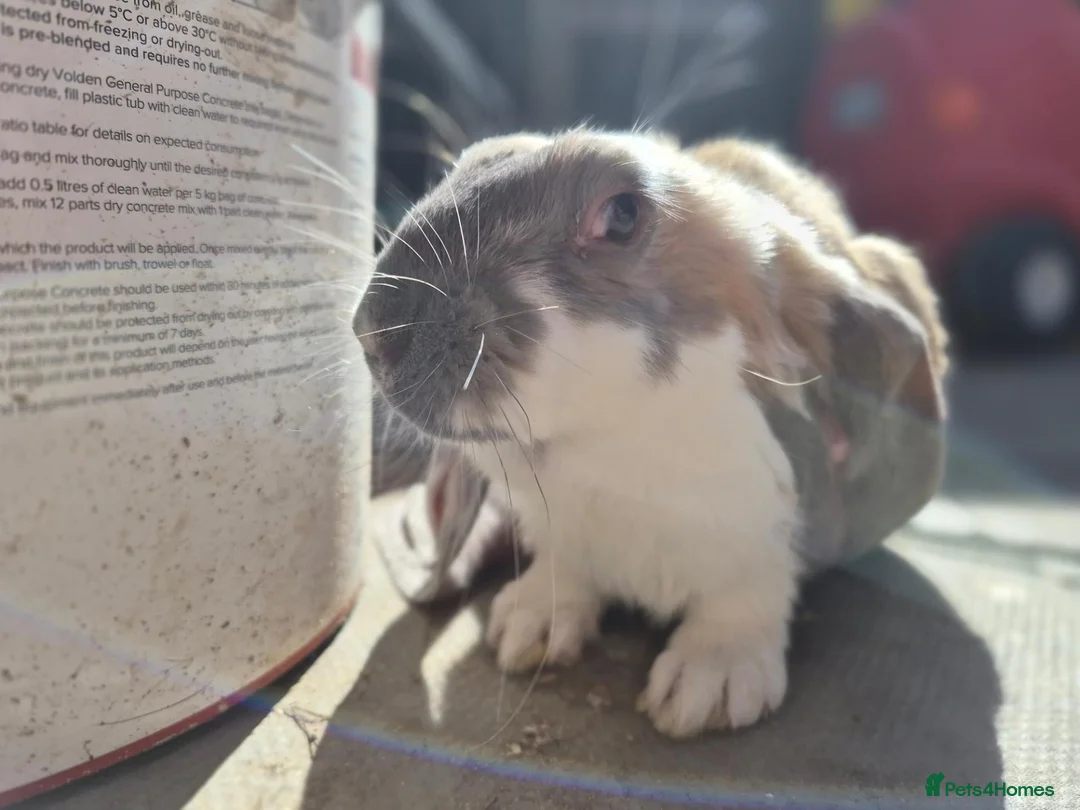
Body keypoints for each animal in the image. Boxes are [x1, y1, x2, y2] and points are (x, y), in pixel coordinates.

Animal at [354, 127, 949, 739]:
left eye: (621, 216)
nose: (372, 332)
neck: (610, 453)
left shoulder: (761, 539)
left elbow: (749, 592)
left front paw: (711, 686)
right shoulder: (564, 529)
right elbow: (564, 568)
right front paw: (528, 627)